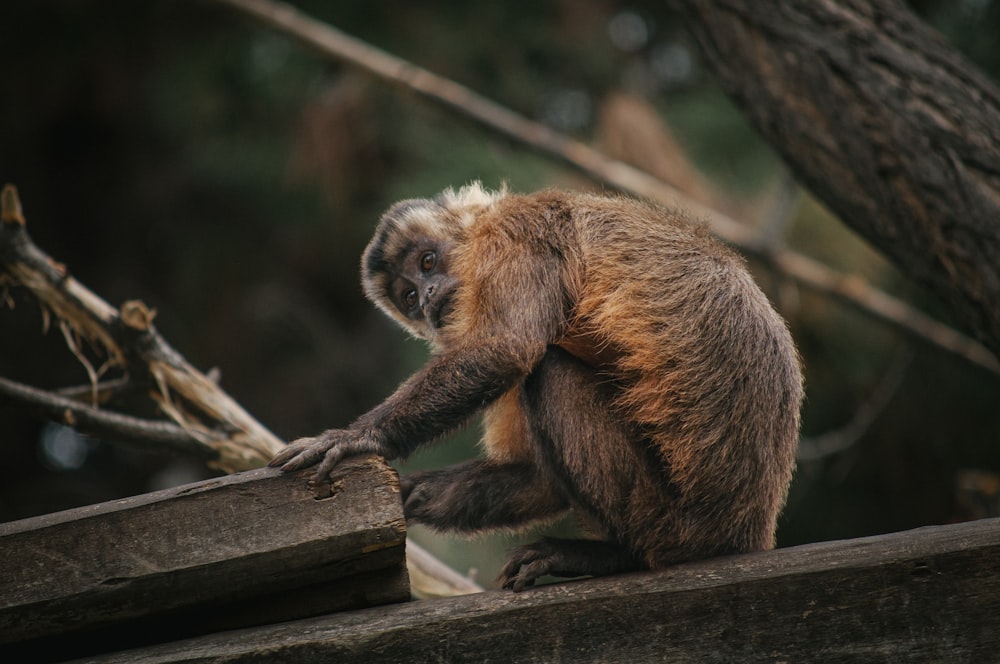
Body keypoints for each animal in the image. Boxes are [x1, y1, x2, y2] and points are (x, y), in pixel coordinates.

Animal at [268, 183, 804, 592]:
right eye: (409, 296)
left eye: (426, 262)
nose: (426, 297)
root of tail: (747, 526)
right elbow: (537, 476)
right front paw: (408, 495)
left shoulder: (517, 234)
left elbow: (506, 350)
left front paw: (357, 438)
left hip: (675, 518)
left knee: (548, 371)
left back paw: (621, 556)